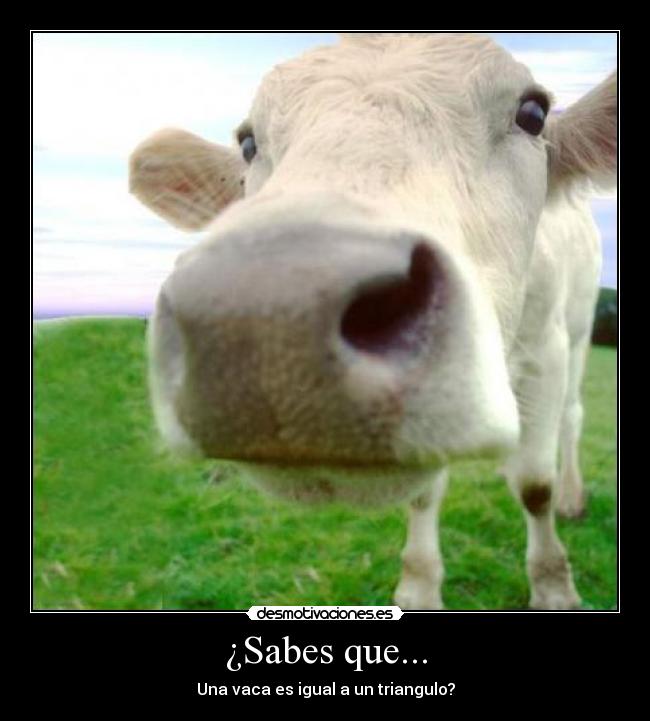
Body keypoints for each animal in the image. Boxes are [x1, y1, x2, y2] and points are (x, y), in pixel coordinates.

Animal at [129, 33, 617, 610]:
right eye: (248, 143)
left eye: (533, 113)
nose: (270, 321)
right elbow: (426, 493)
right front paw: (419, 585)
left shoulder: (545, 352)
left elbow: (534, 485)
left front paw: (553, 586)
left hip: (579, 333)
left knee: (572, 419)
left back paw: (572, 496)